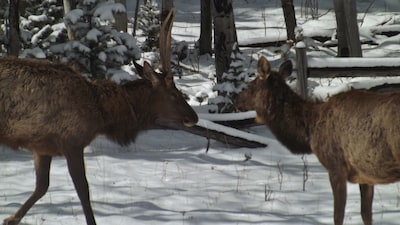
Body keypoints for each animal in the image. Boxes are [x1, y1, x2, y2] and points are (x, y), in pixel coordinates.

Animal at [0, 8, 195, 225]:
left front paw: (10, 219)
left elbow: (41, 187)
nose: (193, 117)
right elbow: (83, 190)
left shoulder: (42, 146)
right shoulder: (72, 143)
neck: (103, 114)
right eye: (174, 94)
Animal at [236, 55, 400, 225]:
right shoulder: (365, 174)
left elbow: (338, 215)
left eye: (250, 86)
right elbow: (366, 214)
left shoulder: (335, 166)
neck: (309, 130)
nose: (236, 100)